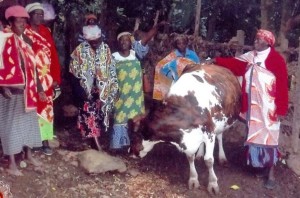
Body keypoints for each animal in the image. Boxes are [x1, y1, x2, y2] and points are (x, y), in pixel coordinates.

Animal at [129, 63, 241, 195]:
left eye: (135, 135)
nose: (130, 152)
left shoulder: (209, 132)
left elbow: (209, 160)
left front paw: (213, 184)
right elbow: (190, 157)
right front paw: (193, 179)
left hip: (222, 122)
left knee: (219, 136)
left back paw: (222, 157)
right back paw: (200, 154)